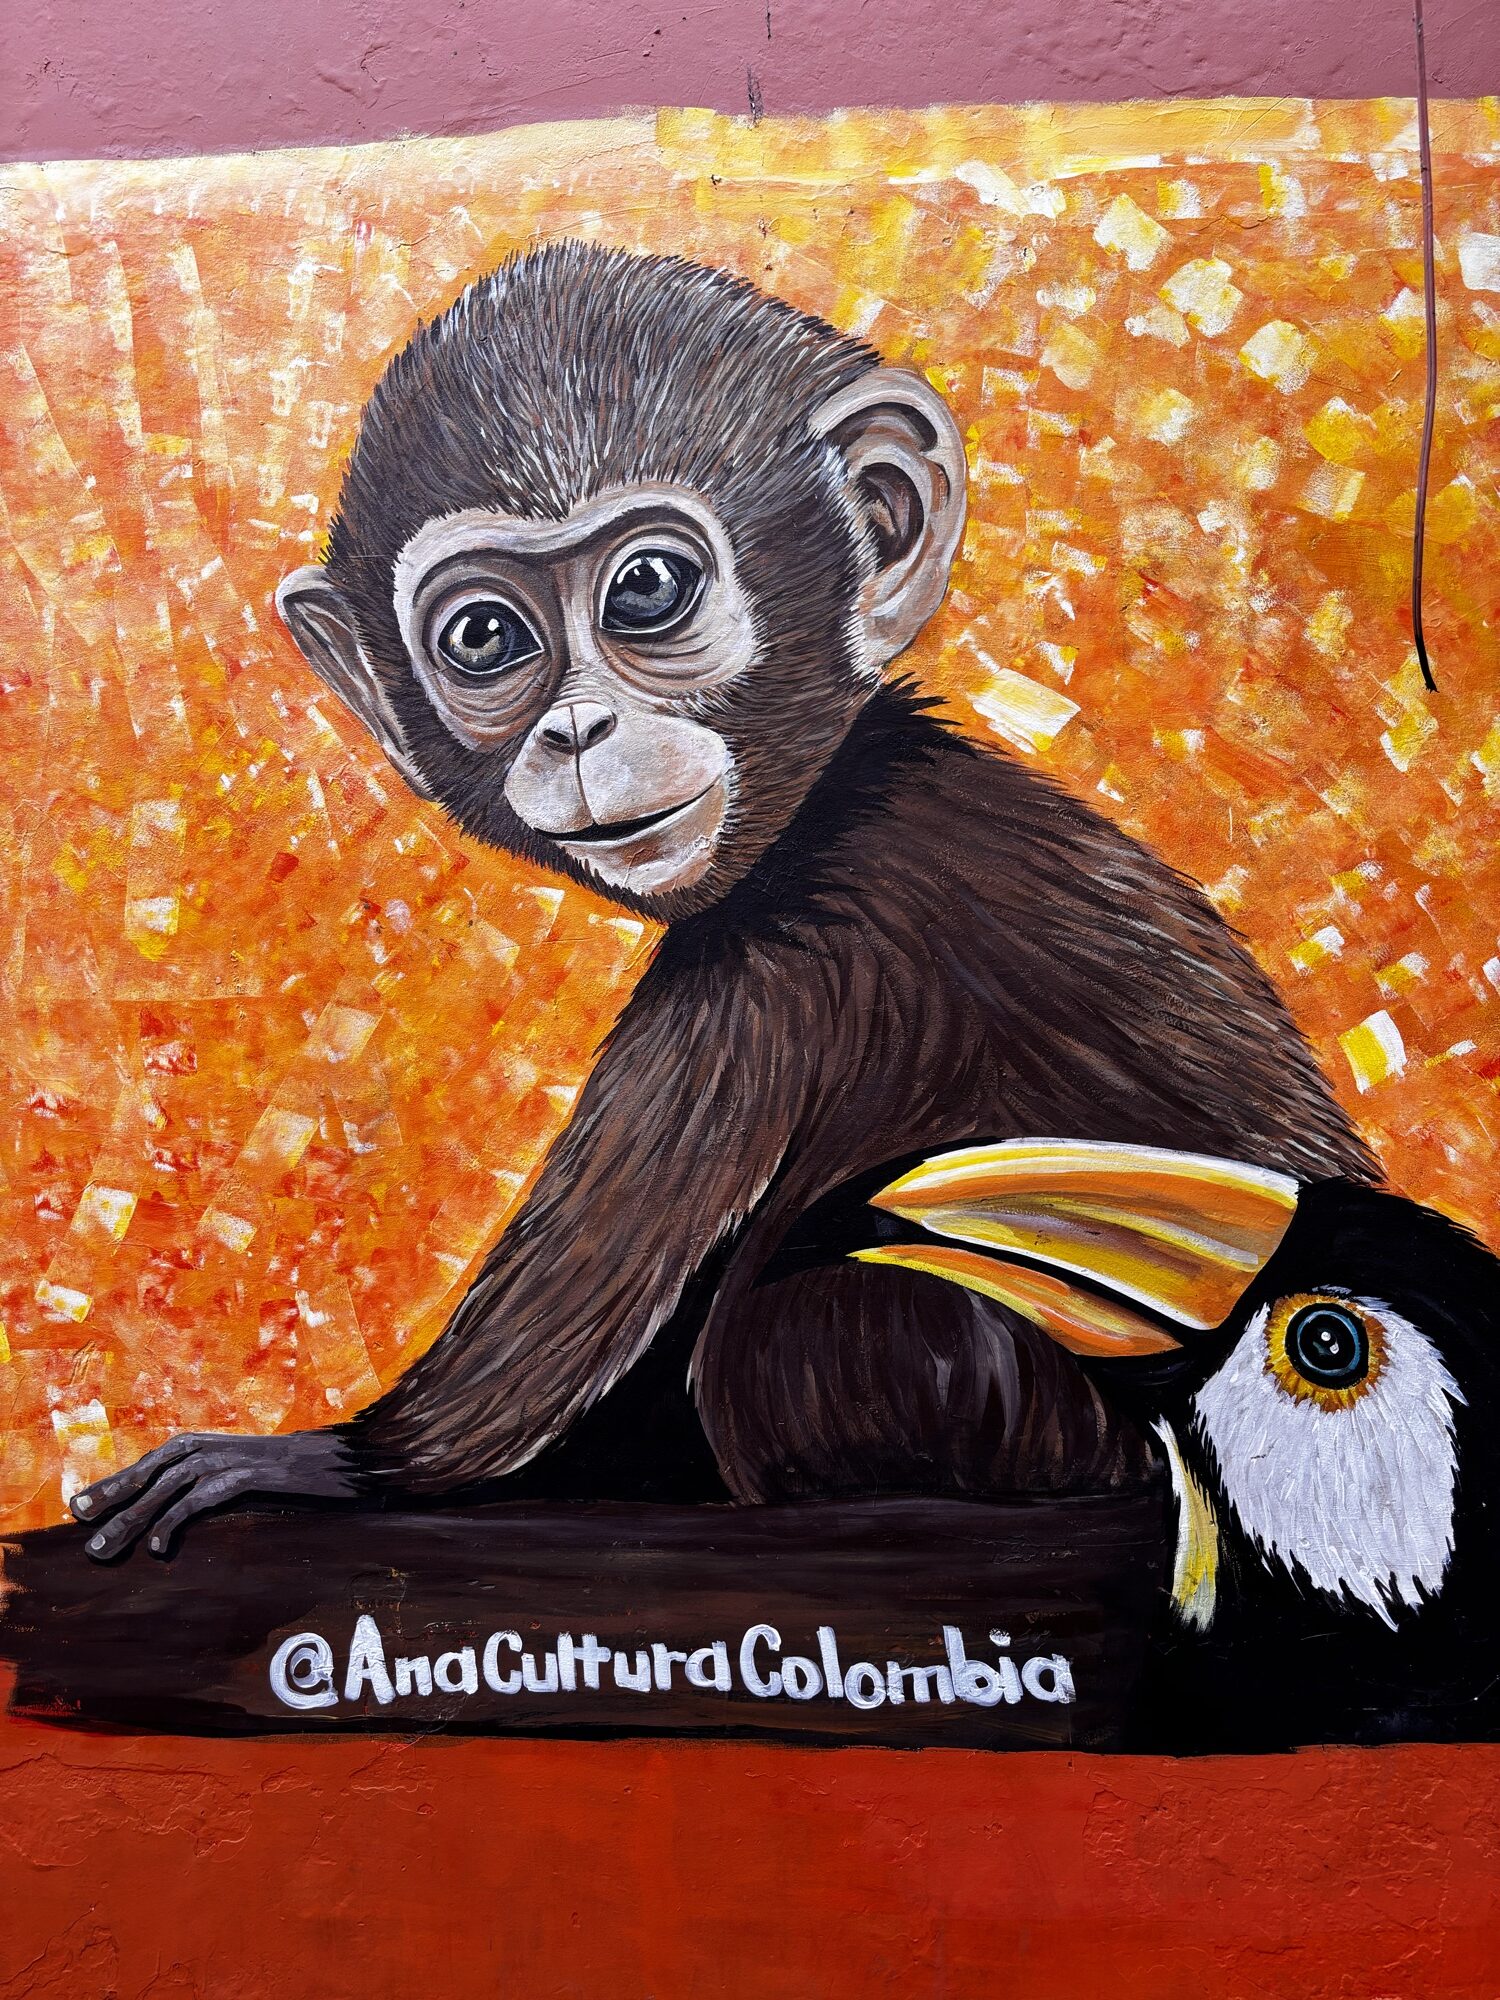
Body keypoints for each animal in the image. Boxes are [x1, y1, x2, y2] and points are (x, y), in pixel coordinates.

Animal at [73, 241, 1375, 1560]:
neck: (837, 791)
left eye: (647, 585)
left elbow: (577, 1308)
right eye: (486, 635)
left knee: (807, 1324)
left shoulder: (772, 970)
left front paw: (327, 1461)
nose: (579, 727)